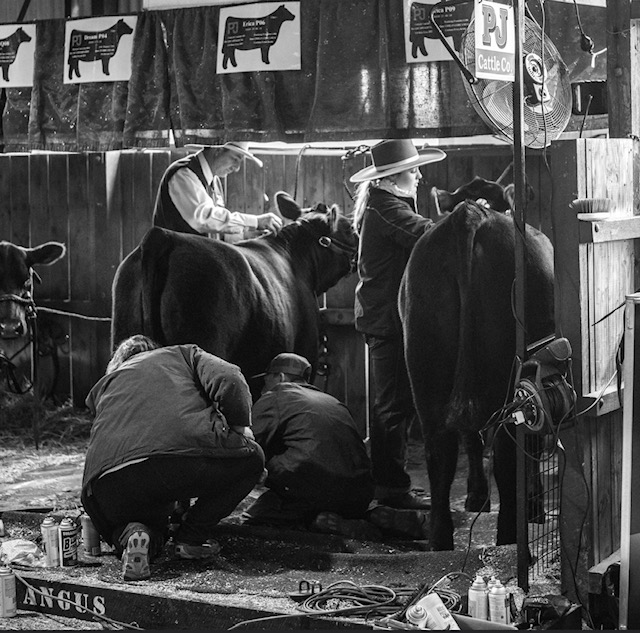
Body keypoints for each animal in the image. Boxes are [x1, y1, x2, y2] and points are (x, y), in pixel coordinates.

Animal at [400, 198, 556, 548]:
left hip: (426, 368)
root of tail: (471, 212)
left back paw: (440, 540)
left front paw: (476, 497)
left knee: (440, 451)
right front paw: (535, 506)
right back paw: (509, 536)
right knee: (507, 453)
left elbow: (471, 440)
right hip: (508, 376)